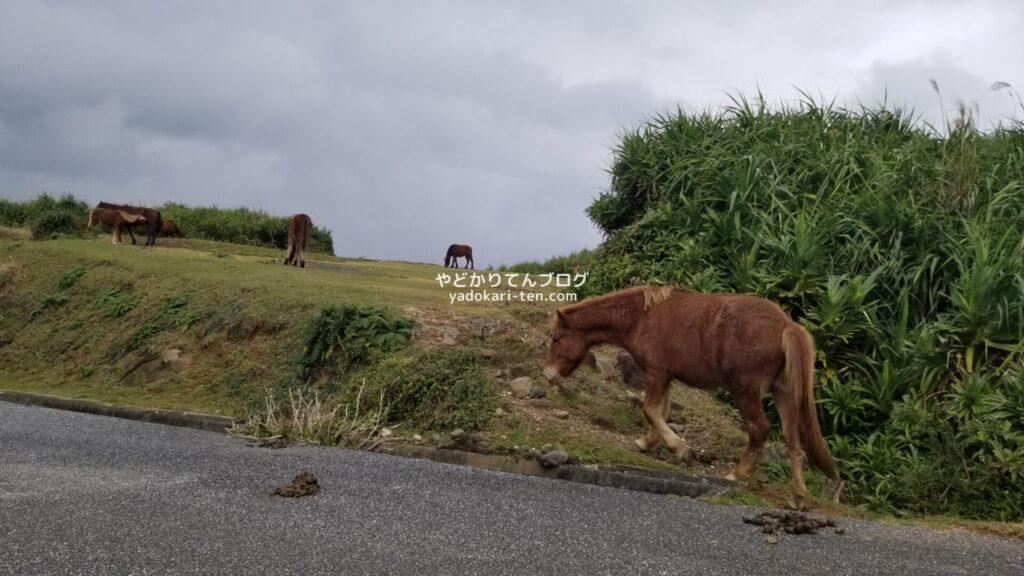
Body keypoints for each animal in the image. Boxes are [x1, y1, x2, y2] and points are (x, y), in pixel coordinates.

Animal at [540, 282, 835, 506]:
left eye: (557, 339)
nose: (548, 375)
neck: (643, 317)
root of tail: (786, 325)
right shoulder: (665, 377)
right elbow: (661, 412)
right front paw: (648, 442)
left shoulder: (656, 374)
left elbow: (651, 411)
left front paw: (680, 449)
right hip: (783, 392)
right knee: (793, 439)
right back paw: (797, 495)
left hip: (746, 392)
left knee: (759, 430)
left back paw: (738, 474)